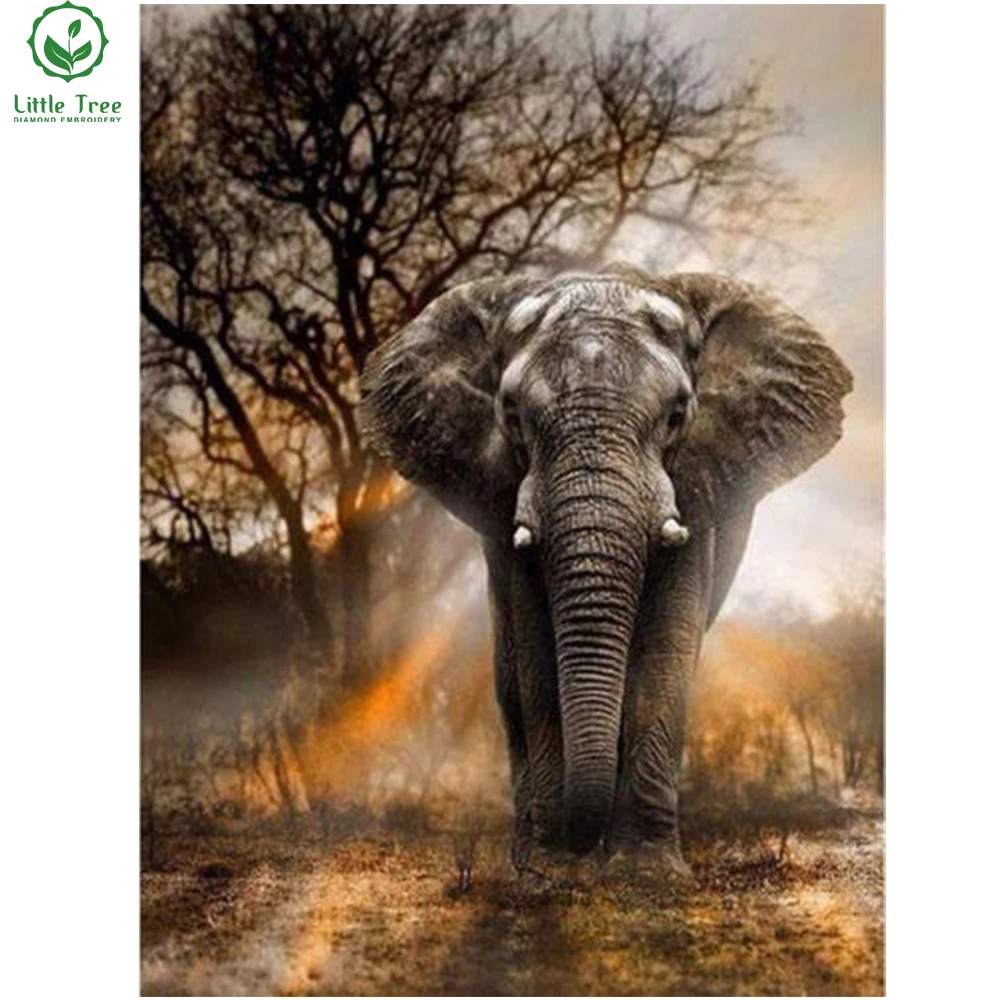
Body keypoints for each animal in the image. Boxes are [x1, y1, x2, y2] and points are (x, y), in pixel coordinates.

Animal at [361, 264, 852, 875]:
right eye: (512, 417)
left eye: (676, 417)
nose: (576, 846)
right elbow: (536, 657)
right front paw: (552, 874)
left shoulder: (695, 488)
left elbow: (665, 650)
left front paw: (647, 876)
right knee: (508, 679)